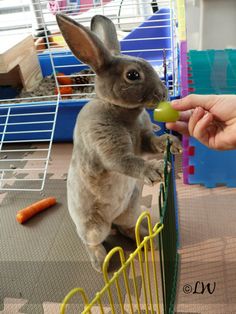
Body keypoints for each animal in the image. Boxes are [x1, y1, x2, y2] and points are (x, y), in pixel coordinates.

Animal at [56, 13, 182, 272]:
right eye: (133, 75)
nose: (163, 94)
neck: (121, 111)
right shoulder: (108, 146)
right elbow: (126, 162)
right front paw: (156, 169)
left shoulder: (143, 139)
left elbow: (153, 142)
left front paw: (171, 142)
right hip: (94, 227)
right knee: (93, 241)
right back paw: (100, 263)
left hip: (130, 209)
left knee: (126, 227)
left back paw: (147, 241)